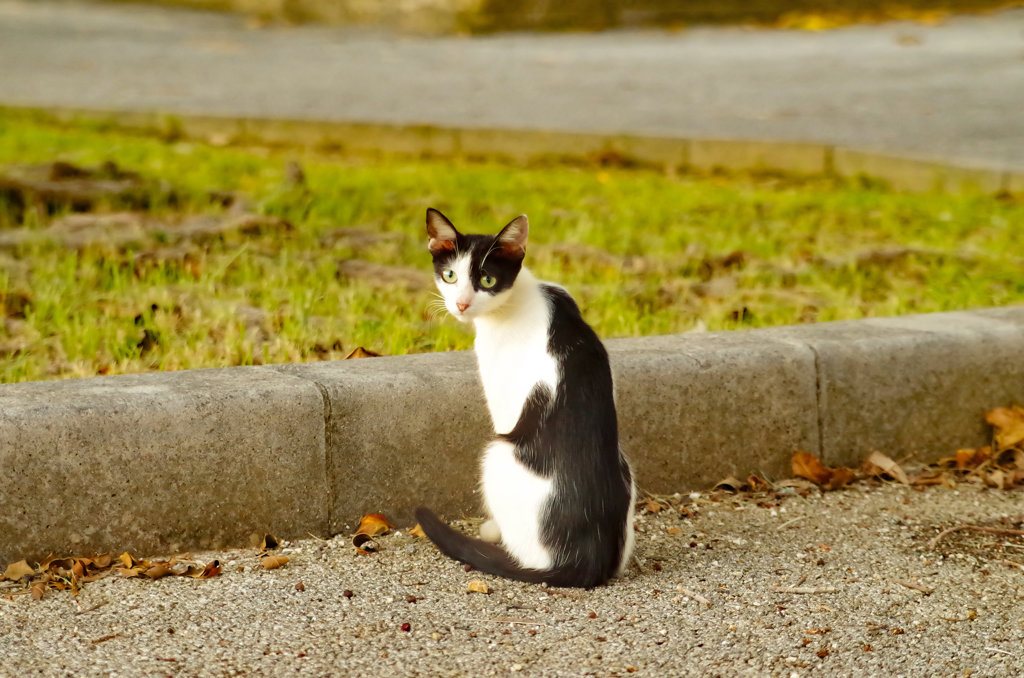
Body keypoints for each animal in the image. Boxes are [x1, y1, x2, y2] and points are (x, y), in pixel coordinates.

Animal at [413, 206, 634, 589]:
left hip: (498, 453)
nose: (461, 304)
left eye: (487, 280)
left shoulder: (503, 394)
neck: (518, 298)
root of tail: (586, 558)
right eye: (450, 275)